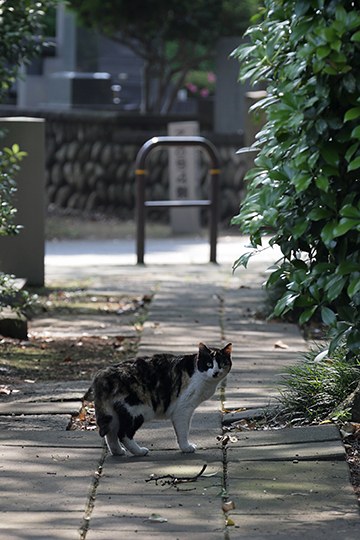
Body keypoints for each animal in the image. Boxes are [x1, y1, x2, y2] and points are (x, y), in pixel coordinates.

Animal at [93, 342, 232, 456]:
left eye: (222, 363)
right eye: (209, 364)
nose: (216, 372)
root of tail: (104, 374)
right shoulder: (183, 409)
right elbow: (183, 431)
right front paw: (186, 447)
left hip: (113, 413)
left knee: (110, 433)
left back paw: (118, 451)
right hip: (135, 410)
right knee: (123, 434)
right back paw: (139, 451)